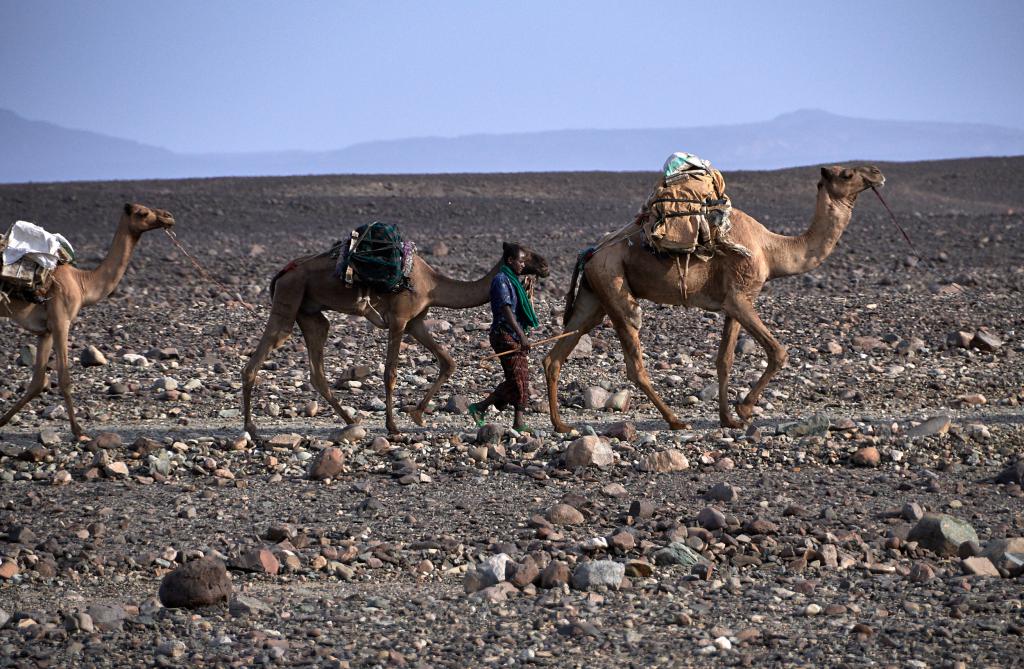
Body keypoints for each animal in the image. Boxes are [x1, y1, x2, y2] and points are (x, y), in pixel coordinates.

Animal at [0, 203, 176, 438]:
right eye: (142, 213)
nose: (168, 216)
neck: (82, 283)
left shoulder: (45, 331)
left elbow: (37, 382)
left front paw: (1, 422)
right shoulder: (61, 321)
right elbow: (64, 378)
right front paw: (79, 431)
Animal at [240, 241, 548, 438]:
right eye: (525, 254)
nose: (545, 265)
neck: (432, 284)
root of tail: (282, 273)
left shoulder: (416, 322)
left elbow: (448, 362)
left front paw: (418, 414)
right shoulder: (399, 319)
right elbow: (390, 373)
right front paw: (393, 426)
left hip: (310, 314)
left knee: (318, 366)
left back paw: (351, 420)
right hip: (289, 296)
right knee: (257, 359)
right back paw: (250, 427)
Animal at [544, 163, 888, 430]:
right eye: (847, 173)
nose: (877, 172)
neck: (771, 249)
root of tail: (590, 253)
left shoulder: (732, 302)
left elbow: (724, 360)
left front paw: (728, 419)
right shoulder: (740, 296)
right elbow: (778, 352)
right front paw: (744, 409)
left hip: (593, 298)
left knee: (557, 353)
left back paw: (561, 425)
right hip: (614, 286)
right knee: (634, 360)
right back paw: (676, 421)